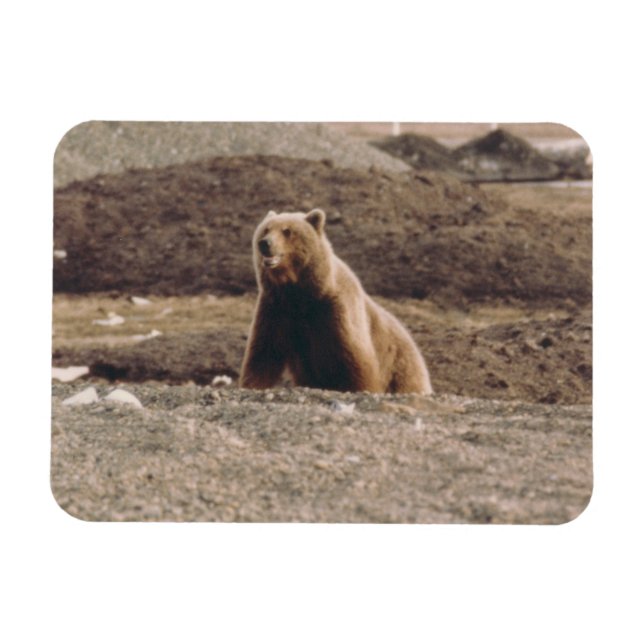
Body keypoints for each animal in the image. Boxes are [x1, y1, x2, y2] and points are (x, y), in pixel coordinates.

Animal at [239, 208, 432, 394]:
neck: (302, 294)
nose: (265, 243)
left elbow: (357, 360)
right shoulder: (277, 308)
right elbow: (263, 352)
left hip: (402, 368)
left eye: (287, 231)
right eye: (266, 229)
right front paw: (251, 384)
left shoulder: (336, 310)